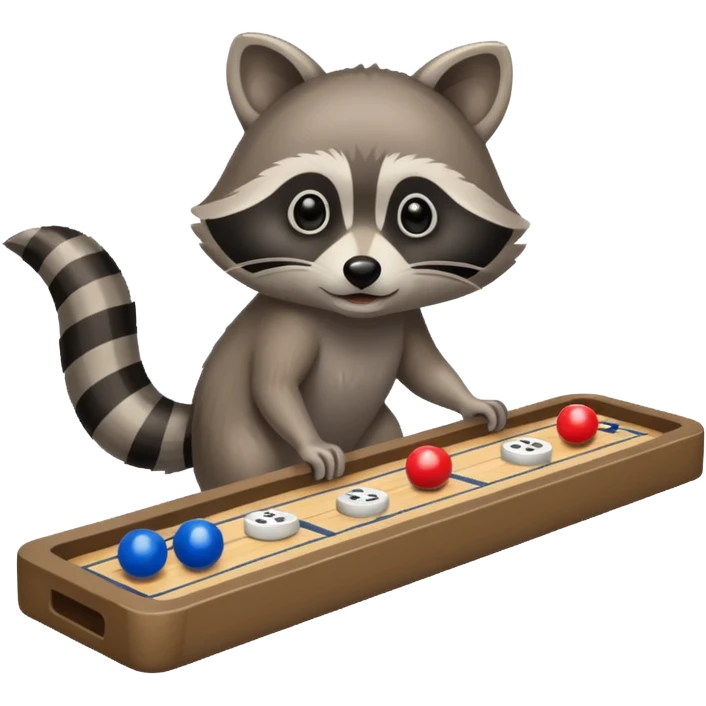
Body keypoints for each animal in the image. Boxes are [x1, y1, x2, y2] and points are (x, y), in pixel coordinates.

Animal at [2, 33, 530, 491]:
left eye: (416, 214)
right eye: (309, 211)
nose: (362, 271)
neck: (354, 320)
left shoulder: (402, 318)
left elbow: (427, 370)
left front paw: (469, 400)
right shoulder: (286, 325)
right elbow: (274, 387)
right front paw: (310, 442)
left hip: (370, 431)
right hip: (238, 448)